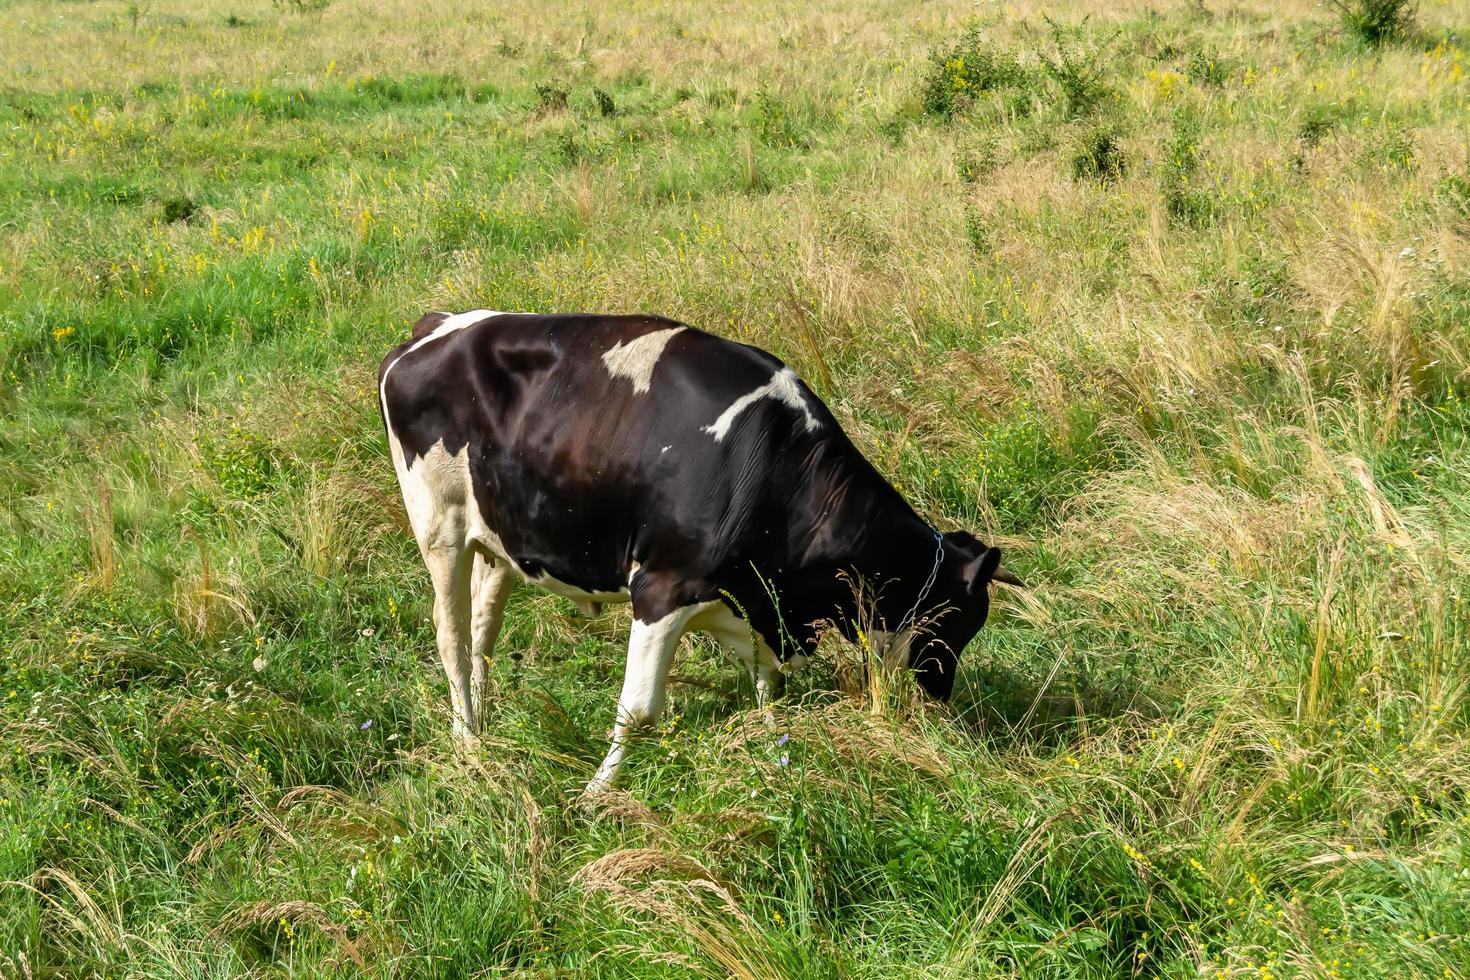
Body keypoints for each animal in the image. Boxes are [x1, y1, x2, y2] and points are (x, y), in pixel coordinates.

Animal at [379, 314, 1023, 799]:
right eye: (957, 623)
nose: (942, 700)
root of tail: (435, 325)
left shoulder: (741, 598)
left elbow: (767, 677)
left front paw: (774, 744)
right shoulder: (663, 588)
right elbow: (640, 709)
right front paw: (596, 794)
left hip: (501, 540)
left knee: (483, 634)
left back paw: (485, 724)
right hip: (439, 528)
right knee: (452, 638)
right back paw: (468, 744)